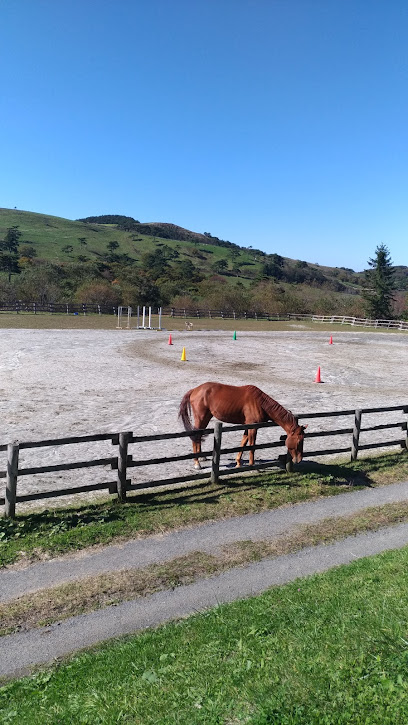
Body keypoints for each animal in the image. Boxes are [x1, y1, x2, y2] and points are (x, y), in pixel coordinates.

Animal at [178, 382, 306, 472]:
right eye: (299, 441)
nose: (299, 459)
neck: (260, 403)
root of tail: (194, 390)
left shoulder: (247, 426)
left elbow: (243, 443)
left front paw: (238, 462)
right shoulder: (253, 427)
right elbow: (252, 446)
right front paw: (252, 465)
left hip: (206, 418)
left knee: (198, 436)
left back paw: (202, 457)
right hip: (201, 418)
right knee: (195, 436)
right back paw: (197, 463)